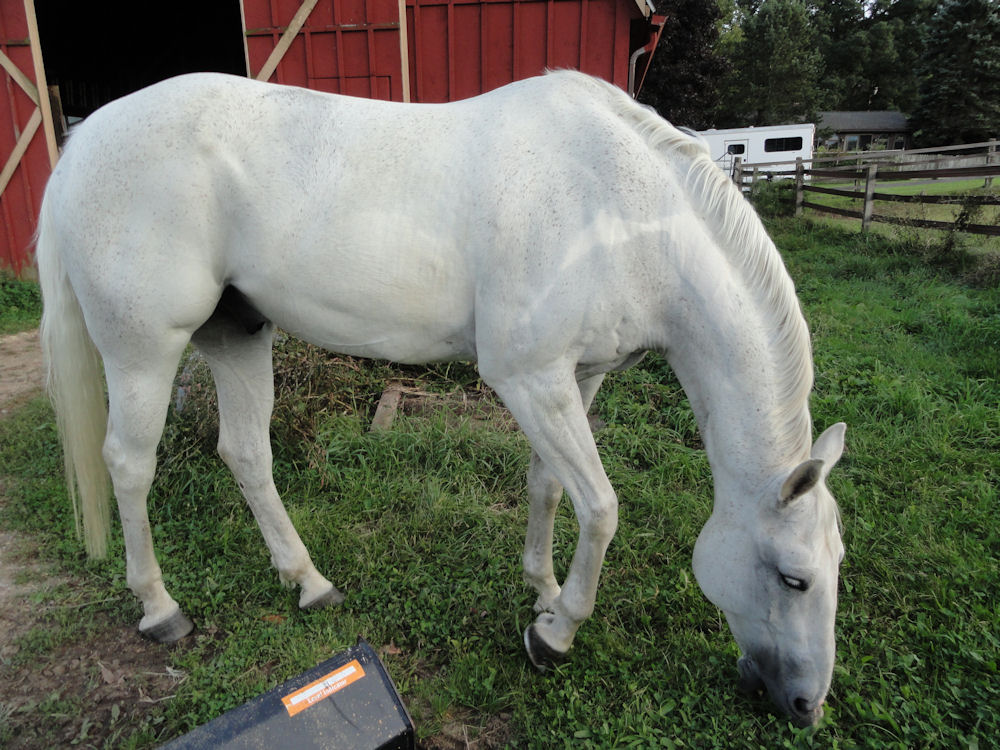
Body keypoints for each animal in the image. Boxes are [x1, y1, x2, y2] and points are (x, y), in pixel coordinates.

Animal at [36, 70, 846, 727]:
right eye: (793, 577)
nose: (805, 706)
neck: (618, 207)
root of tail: (83, 143)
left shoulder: (578, 376)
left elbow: (551, 489)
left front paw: (542, 589)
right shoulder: (529, 378)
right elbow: (602, 509)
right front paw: (555, 634)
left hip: (236, 335)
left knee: (244, 454)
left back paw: (309, 584)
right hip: (145, 352)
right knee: (129, 466)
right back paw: (160, 609)